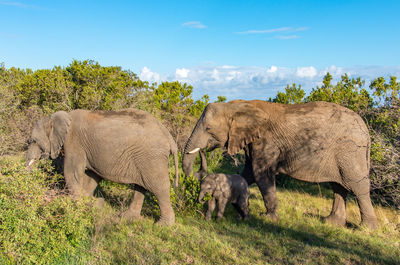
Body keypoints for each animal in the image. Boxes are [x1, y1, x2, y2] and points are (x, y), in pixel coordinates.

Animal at [25, 108, 179, 224]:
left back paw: (163, 225)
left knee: (159, 187)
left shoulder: (74, 142)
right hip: (143, 157)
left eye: (34, 141)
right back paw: (127, 217)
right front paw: (90, 201)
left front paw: (80, 203)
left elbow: (71, 172)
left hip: (152, 157)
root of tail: (169, 136)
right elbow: (92, 177)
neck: (56, 117)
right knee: (141, 186)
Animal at [184, 99, 378, 227]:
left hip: (350, 152)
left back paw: (366, 228)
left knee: (357, 186)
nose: (201, 150)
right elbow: (248, 174)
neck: (236, 105)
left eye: (208, 129)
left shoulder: (266, 141)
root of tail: (366, 131)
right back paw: (330, 222)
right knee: (338, 186)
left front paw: (267, 218)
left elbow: (260, 174)